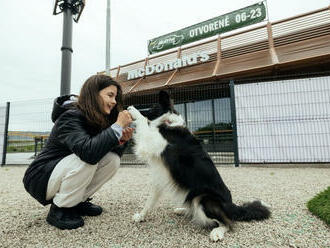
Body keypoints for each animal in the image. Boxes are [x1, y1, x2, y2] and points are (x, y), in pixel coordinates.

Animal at [127, 90, 270, 241]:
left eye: (153, 107)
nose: (135, 108)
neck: (168, 123)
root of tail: (233, 207)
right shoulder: (160, 175)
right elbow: (150, 201)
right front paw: (140, 216)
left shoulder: (152, 142)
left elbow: (143, 123)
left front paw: (134, 111)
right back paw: (182, 210)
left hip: (204, 198)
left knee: (228, 223)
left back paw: (217, 232)